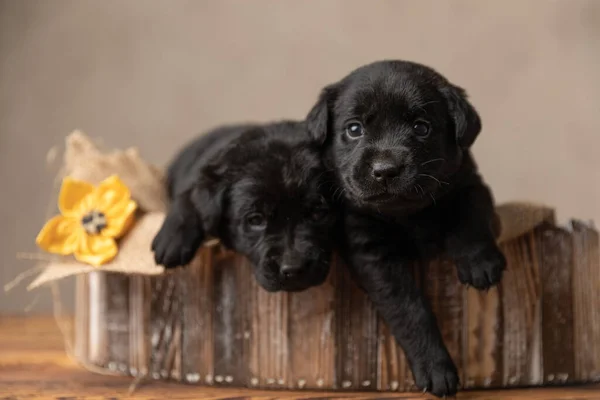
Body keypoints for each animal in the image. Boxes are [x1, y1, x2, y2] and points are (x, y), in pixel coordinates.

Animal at [304, 60, 506, 396]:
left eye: (421, 128)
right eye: (354, 129)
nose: (385, 170)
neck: (405, 215)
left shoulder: (469, 182)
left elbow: (470, 216)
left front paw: (480, 262)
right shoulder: (371, 251)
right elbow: (410, 310)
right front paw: (436, 368)